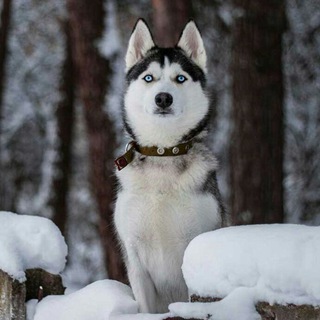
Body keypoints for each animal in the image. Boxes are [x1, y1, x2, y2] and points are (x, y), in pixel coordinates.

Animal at [114, 19, 226, 312]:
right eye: (148, 78)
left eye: (180, 78)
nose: (163, 98)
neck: (163, 152)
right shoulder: (134, 256)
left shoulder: (193, 249)